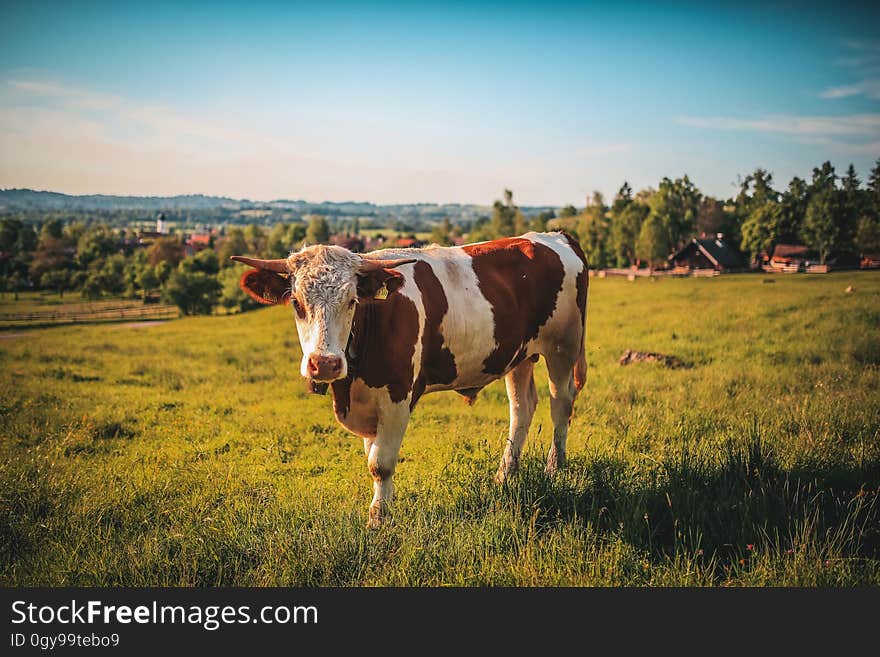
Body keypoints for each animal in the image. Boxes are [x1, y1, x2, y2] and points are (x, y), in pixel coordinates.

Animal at [234, 232, 588, 528]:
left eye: (352, 301)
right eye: (297, 303)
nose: (325, 363)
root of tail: (554, 236)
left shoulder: (397, 395)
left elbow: (381, 463)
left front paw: (378, 518)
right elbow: (372, 455)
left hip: (563, 346)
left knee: (561, 404)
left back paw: (555, 468)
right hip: (519, 355)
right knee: (521, 407)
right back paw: (505, 474)